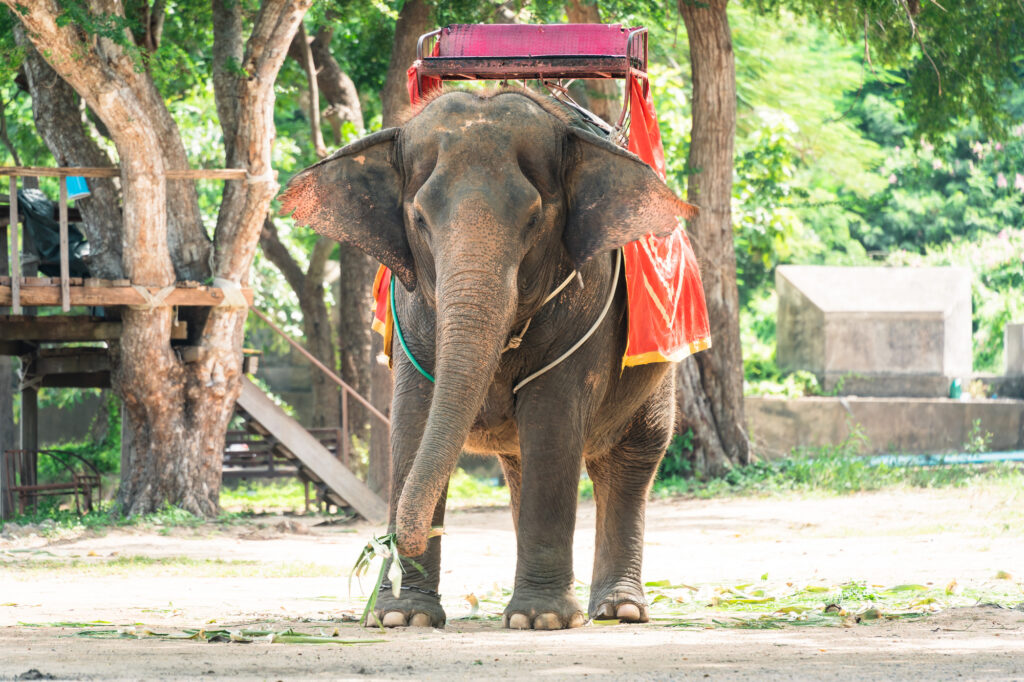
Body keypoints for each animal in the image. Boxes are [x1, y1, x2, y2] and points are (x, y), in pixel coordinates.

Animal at [280, 88, 697, 631]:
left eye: (534, 219)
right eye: (419, 218)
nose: (388, 543)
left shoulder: (586, 309)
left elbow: (552, 422)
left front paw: (540, 620)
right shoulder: (411, 313)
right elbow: (413, 421)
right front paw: (403, 618)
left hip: (658, 367)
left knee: (630, 458)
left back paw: (617, 611)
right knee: (522, 463)